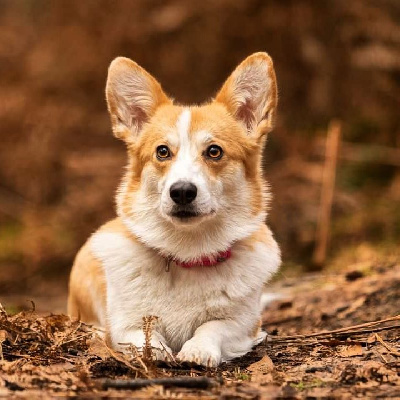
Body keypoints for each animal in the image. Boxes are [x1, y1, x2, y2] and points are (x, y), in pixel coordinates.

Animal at [68, 52, 282, 366]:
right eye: (162, 152)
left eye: (214, 151)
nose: (182, 191)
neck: (187, 253)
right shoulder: (123, 325)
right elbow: (141, 334)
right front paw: (155, 350)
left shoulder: (245, 325)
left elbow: (213, 326)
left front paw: (198, 349)